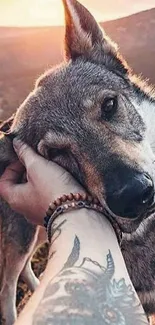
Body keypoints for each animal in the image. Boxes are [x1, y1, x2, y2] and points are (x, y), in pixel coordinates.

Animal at [0, 0, 155, 320]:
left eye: (109, 105)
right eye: (55, 153)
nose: (133, 196)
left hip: (38, 232)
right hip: (21, 238)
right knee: (7, 285)